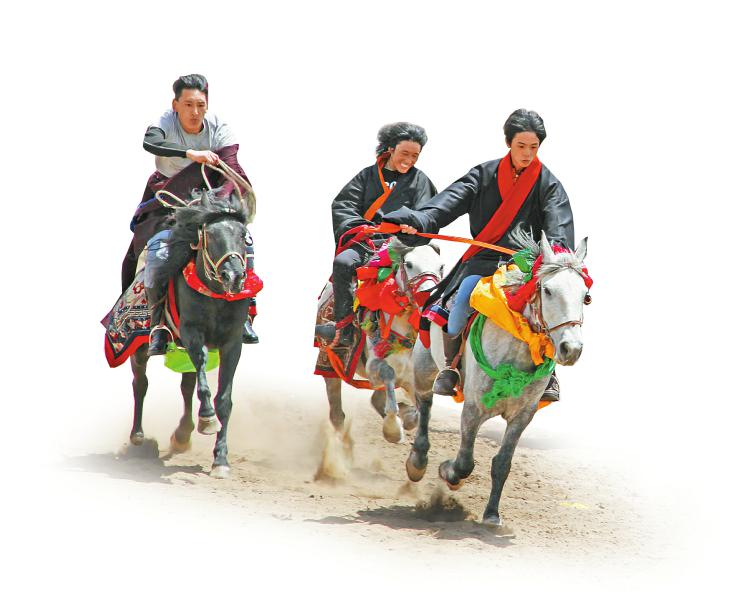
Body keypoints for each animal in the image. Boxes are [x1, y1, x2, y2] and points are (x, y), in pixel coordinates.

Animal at [128, 189, 256, 478]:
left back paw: (182, 435)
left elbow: (224, 400)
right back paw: (138, 436)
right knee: (141, 384)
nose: (234, 276)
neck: (217, 297)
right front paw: (207, 419)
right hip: (141, 349)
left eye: (243, 235)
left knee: (186, 386)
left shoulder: (232, 344)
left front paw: (221, 460)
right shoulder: (192, 334)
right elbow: (204, 385)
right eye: (210, 235)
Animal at [321, 240, 444, 448]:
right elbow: (388, 378)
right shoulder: (374, 369)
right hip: (331, 366)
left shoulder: (415, 379)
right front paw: (393, 430)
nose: (428, 296)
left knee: (375, 399)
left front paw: (408, 417)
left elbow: (420, 412)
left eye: (441, 266)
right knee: (337, 414)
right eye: (409, 264)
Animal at [405, 231, 590, 525]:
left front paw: (492, 513)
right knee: (424, 406)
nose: (571, 348)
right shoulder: (473, 408)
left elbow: (502, 463)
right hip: (423, 368)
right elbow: (465, 462)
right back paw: (417, 461)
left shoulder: (523, 415)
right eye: (548, 291)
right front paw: (449, 473)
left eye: (586, 296)